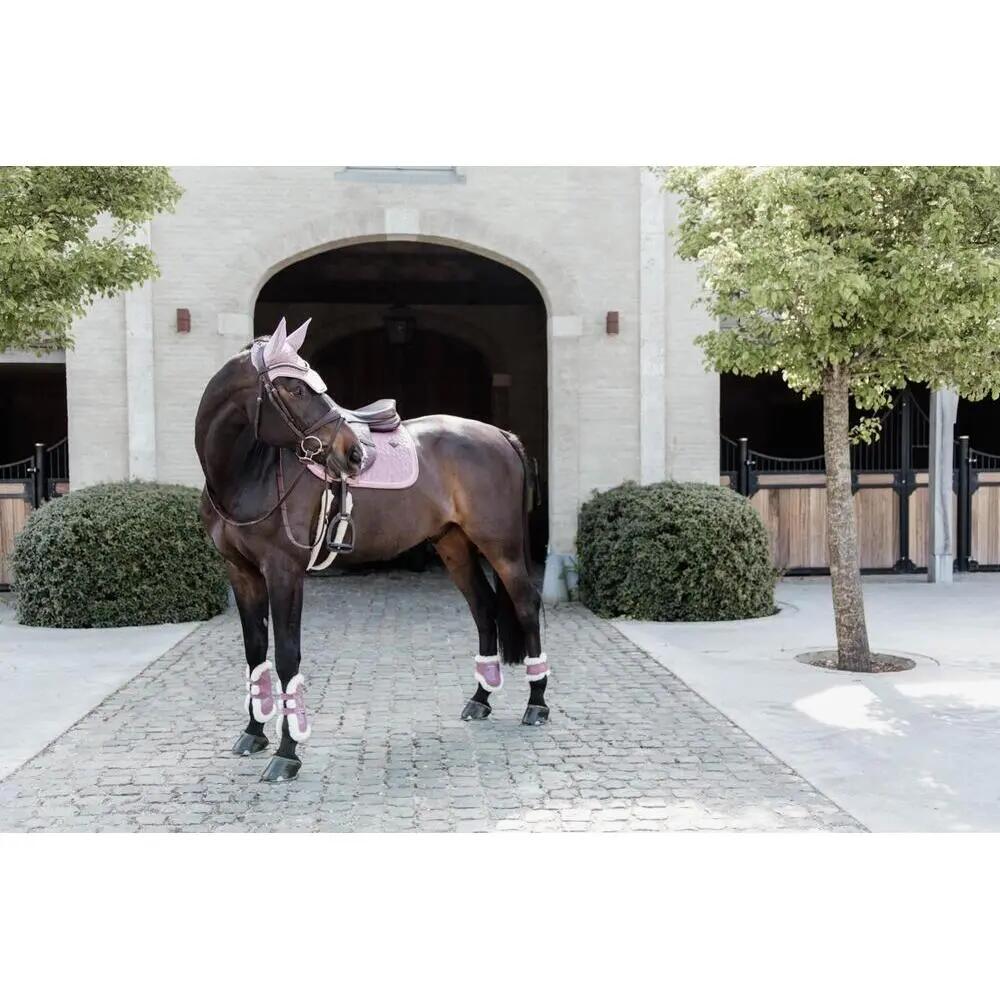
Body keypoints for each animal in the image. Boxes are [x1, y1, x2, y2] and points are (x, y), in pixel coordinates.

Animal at [195, 317, 548, 782]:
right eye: (295, 388)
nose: (353, 453)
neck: (248, 473)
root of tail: (501, 435)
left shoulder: (284, 571)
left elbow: (287, 657)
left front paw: (288, 753)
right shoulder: (241, 572)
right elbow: (256, 654)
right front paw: (253, 734)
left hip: (501, 547)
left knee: (525, 605)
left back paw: (537, 704)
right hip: (453, 545)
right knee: (484, 607)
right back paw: (480, 699)